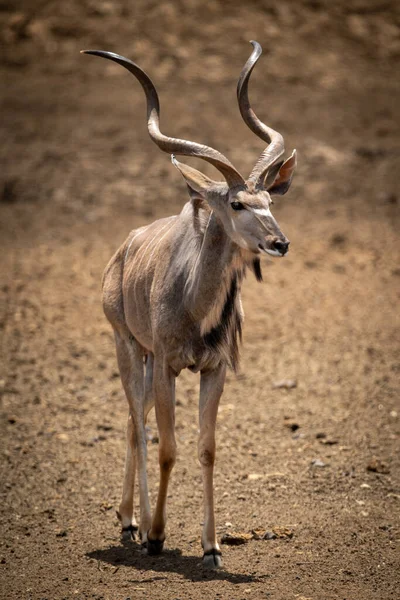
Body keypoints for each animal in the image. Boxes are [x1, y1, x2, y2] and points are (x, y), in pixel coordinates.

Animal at [83, 41, 296, 568]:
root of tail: (125, 247)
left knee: (132, 420)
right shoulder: (168, 366)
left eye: (270, 202)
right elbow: (167, 448)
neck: (197, 310)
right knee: (139, 425)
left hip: (144, 358)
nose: (279, 243)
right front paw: (158, 535)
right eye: (237, 204)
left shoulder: (213, 368)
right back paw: (135, 526)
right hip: (127, 345)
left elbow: (206, 449)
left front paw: (212, 547)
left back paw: (129, 518)